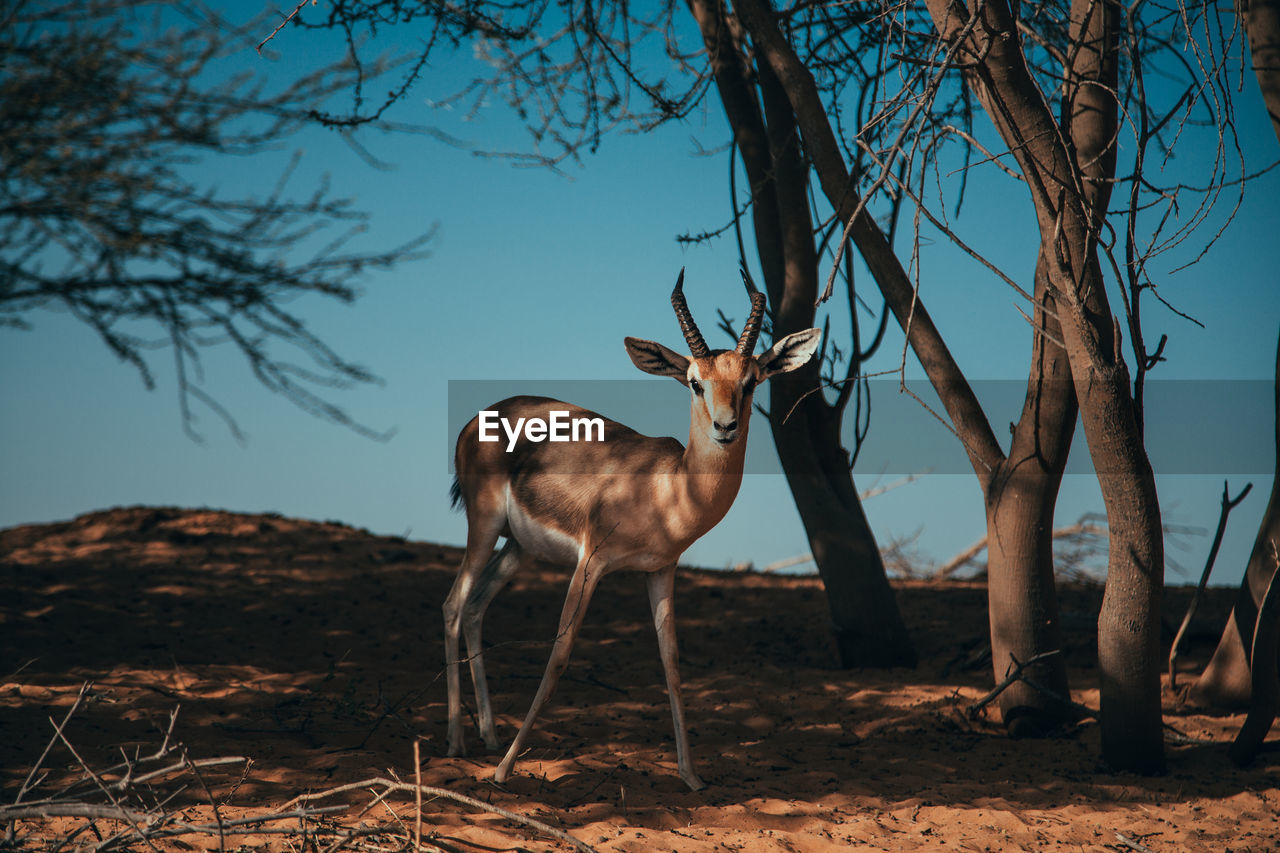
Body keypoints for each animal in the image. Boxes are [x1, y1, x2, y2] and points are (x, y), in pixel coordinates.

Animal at [440, 268, 819, 788]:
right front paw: (502, 773)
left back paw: (490, 735)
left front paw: (692, 778)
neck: (666, 489)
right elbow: (560, 654)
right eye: (695, 382)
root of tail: (479, 417)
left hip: (519, 548)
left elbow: (672, 664)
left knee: (477, 607)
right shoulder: (591, 563)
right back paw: (458, 744)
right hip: (483, 526)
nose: (726, 427)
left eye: (751, 380)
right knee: (453, 604)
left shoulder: (660, 570)